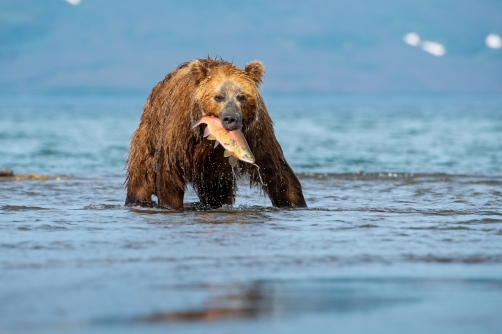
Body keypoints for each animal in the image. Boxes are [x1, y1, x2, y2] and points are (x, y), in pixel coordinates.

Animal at [125, 56, 306, 210]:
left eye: (241, 97)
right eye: (218, 97)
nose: (230, 118)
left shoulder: (257, 134)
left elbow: (275, 170)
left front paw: (295, 203)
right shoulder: (180, 132)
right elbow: (170, 172)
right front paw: (170, 204)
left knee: (218, 191)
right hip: (148, 135)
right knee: (140, 175)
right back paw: (137, 200)